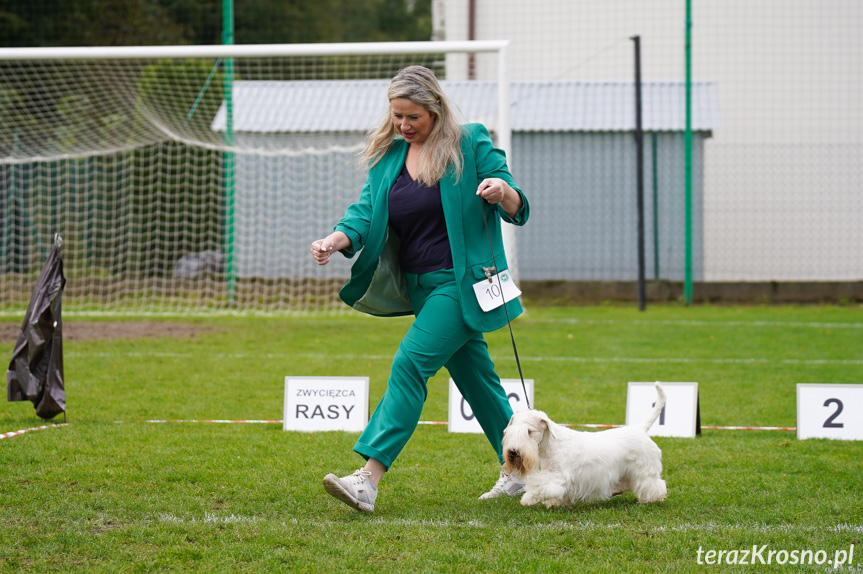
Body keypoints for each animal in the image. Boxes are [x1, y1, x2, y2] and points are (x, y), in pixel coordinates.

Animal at [502, 382, 672, 508]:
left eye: (529, 431)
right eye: (509, 432)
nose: (513, 451)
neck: (551, 446)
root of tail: (640, 428)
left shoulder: (558, 477)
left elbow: (541, 486)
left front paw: (528, 499)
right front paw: (554, 503)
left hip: (645, 470)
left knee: (654, 485)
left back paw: (651, 499)